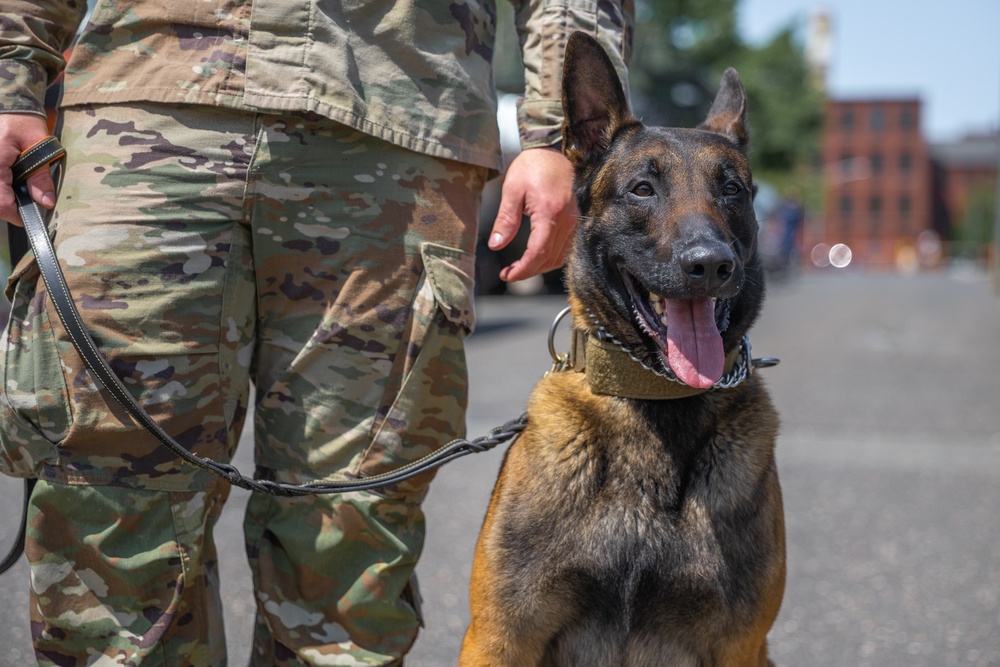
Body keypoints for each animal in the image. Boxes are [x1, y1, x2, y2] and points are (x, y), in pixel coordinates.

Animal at [462, 32, 788, 667]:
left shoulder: (740, 644)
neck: (655, 400)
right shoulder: (499, 637)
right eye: (643, 188)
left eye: (731, 190)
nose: (710, 264)